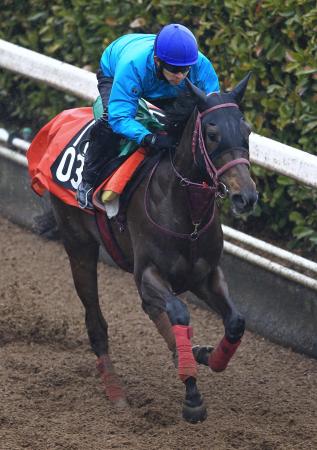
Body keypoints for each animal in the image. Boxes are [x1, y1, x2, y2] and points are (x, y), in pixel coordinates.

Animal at [48, 73, 256, 422]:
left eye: (248, 131)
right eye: (212, 134)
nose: (247, 197)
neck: (187, 214)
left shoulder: (205, 275)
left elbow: (236, 321)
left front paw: (208, 356)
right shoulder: (147, 273)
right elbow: (179, 312)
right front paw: (192, 395)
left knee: (150, 310)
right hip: (79, 245)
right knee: (96, 321)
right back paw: (116, 391)